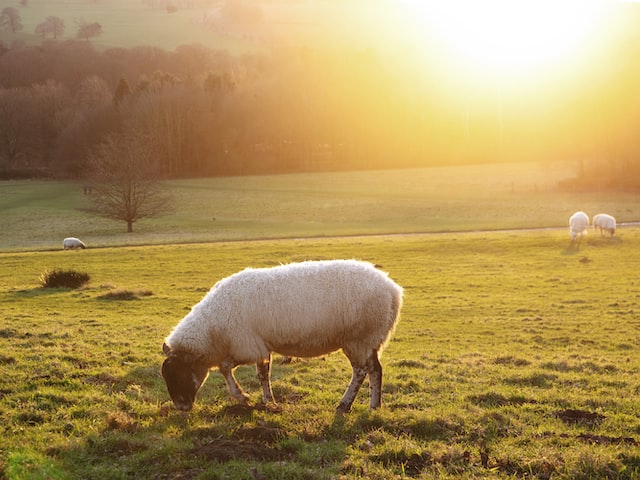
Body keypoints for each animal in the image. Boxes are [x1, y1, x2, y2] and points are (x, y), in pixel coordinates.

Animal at [164, 260, 404, 414]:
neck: (213, 330)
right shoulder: (258, 346)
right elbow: (261, 374)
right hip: (370, 338)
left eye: (181, 375)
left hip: (359, 338)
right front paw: (264, 401)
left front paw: (247, 397)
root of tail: (393, 290)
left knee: (361, 371)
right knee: (375, 369)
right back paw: (374, 406)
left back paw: (344, 405)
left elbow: (228, 369)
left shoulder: (247, 345)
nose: (181, 408)